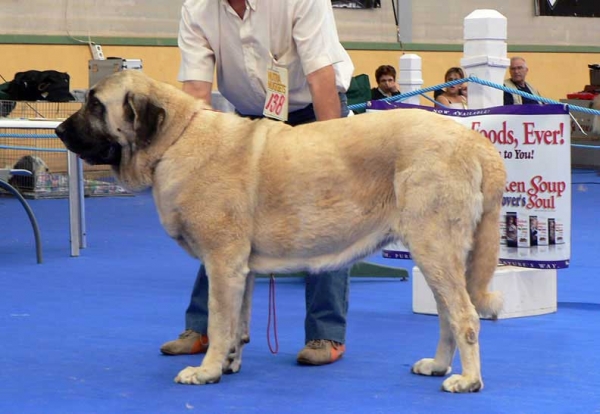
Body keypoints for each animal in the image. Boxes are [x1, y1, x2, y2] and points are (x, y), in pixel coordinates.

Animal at [56, 69, 506, 392]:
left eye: (95, 105)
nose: (59, 131)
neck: (175, 140)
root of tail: (474, 142)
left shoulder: (222, 263)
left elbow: (218, 322)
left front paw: (205, 371)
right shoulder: (242, 270)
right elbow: (237, 323)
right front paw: (229, 362)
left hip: (434, 247)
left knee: (464, 315)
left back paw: (469, 379)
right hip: (436, 255)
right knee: (447, 314)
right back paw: (439, 365)